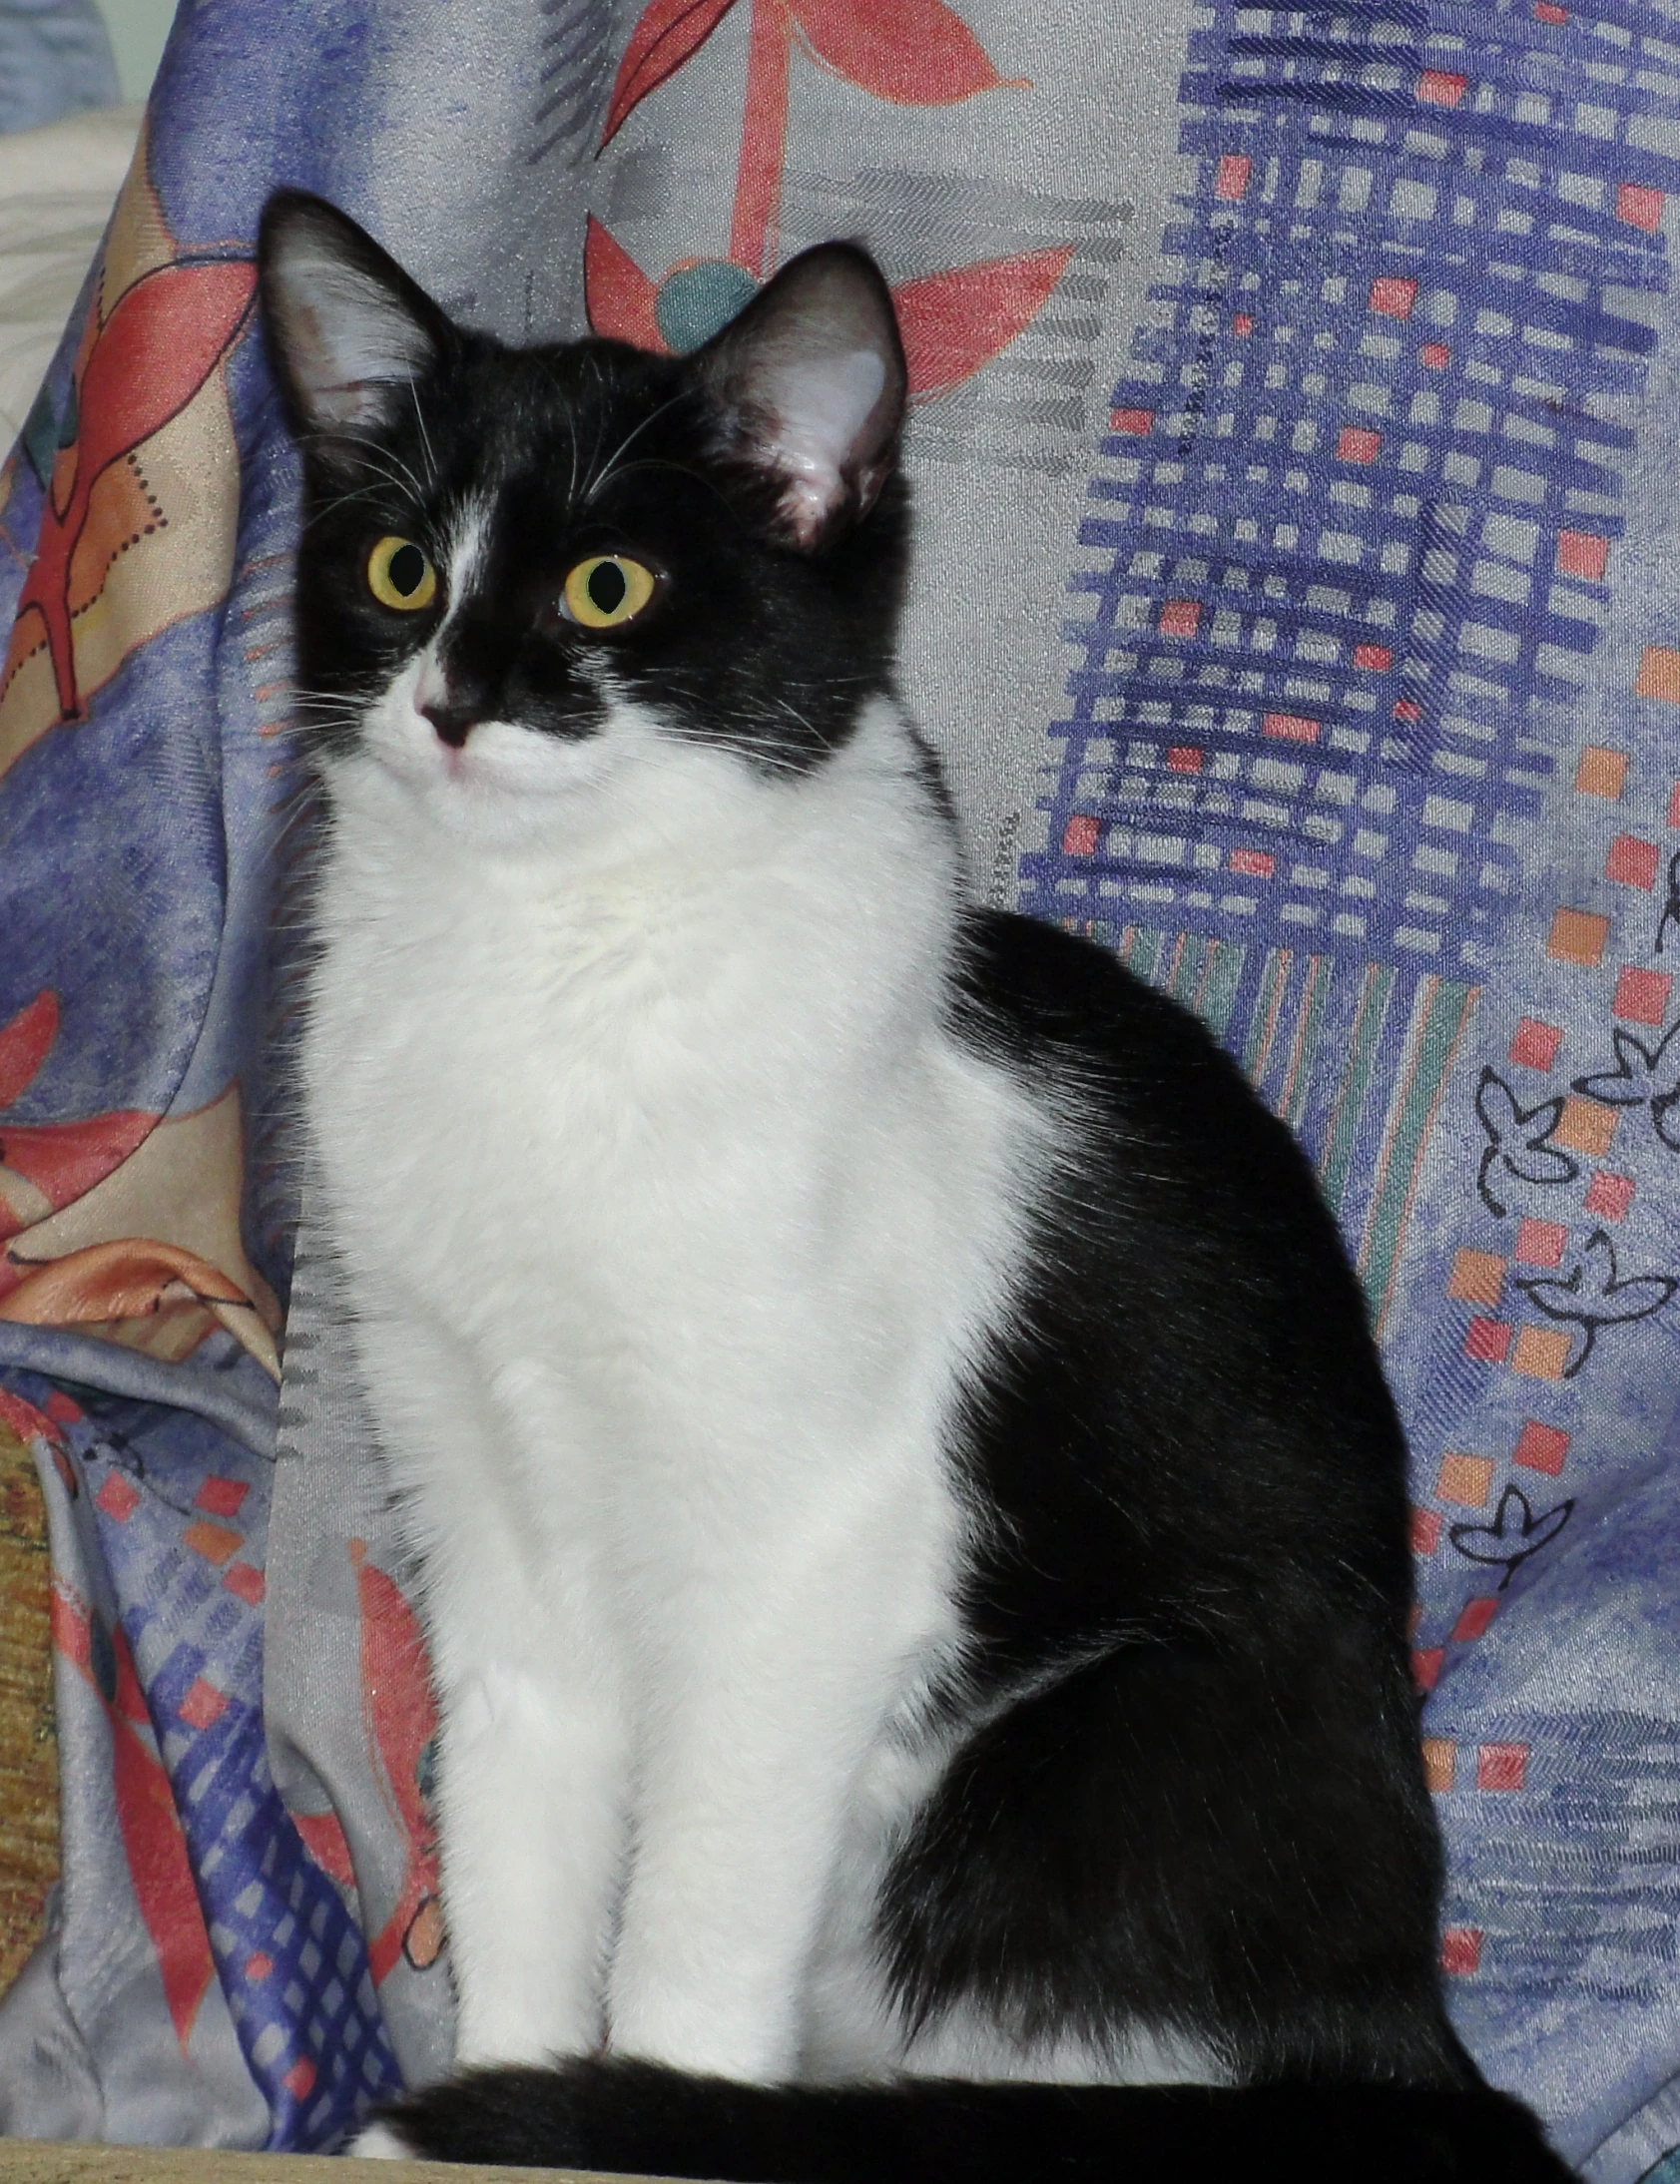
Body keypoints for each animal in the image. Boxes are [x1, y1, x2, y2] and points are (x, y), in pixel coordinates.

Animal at [256, 196, 1564, 2175]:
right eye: (402, 569)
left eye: (606, 589)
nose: (455, 702)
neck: (550, 973)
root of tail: (1398, 2039)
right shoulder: (485, 1508)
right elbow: (518, 1843)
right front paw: (508, 2082)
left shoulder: (812, 1549)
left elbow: (693, 1919)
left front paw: (625, 2109)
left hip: (1090, 1740)